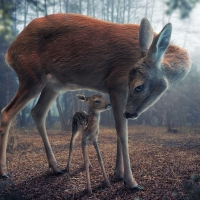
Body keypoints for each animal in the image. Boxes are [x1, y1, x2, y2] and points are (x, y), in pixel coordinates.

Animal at [0, 13, 191, 191]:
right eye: (138, 86)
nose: (130, 113)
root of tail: (9, 53)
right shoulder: (115, 83)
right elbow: (122, 132)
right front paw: (131, 181)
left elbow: (119, 130)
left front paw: (118, 173)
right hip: (32, 77)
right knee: (7, 113)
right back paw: (4, 172)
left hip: (53, 85)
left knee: (37, 112)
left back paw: (56, 167)